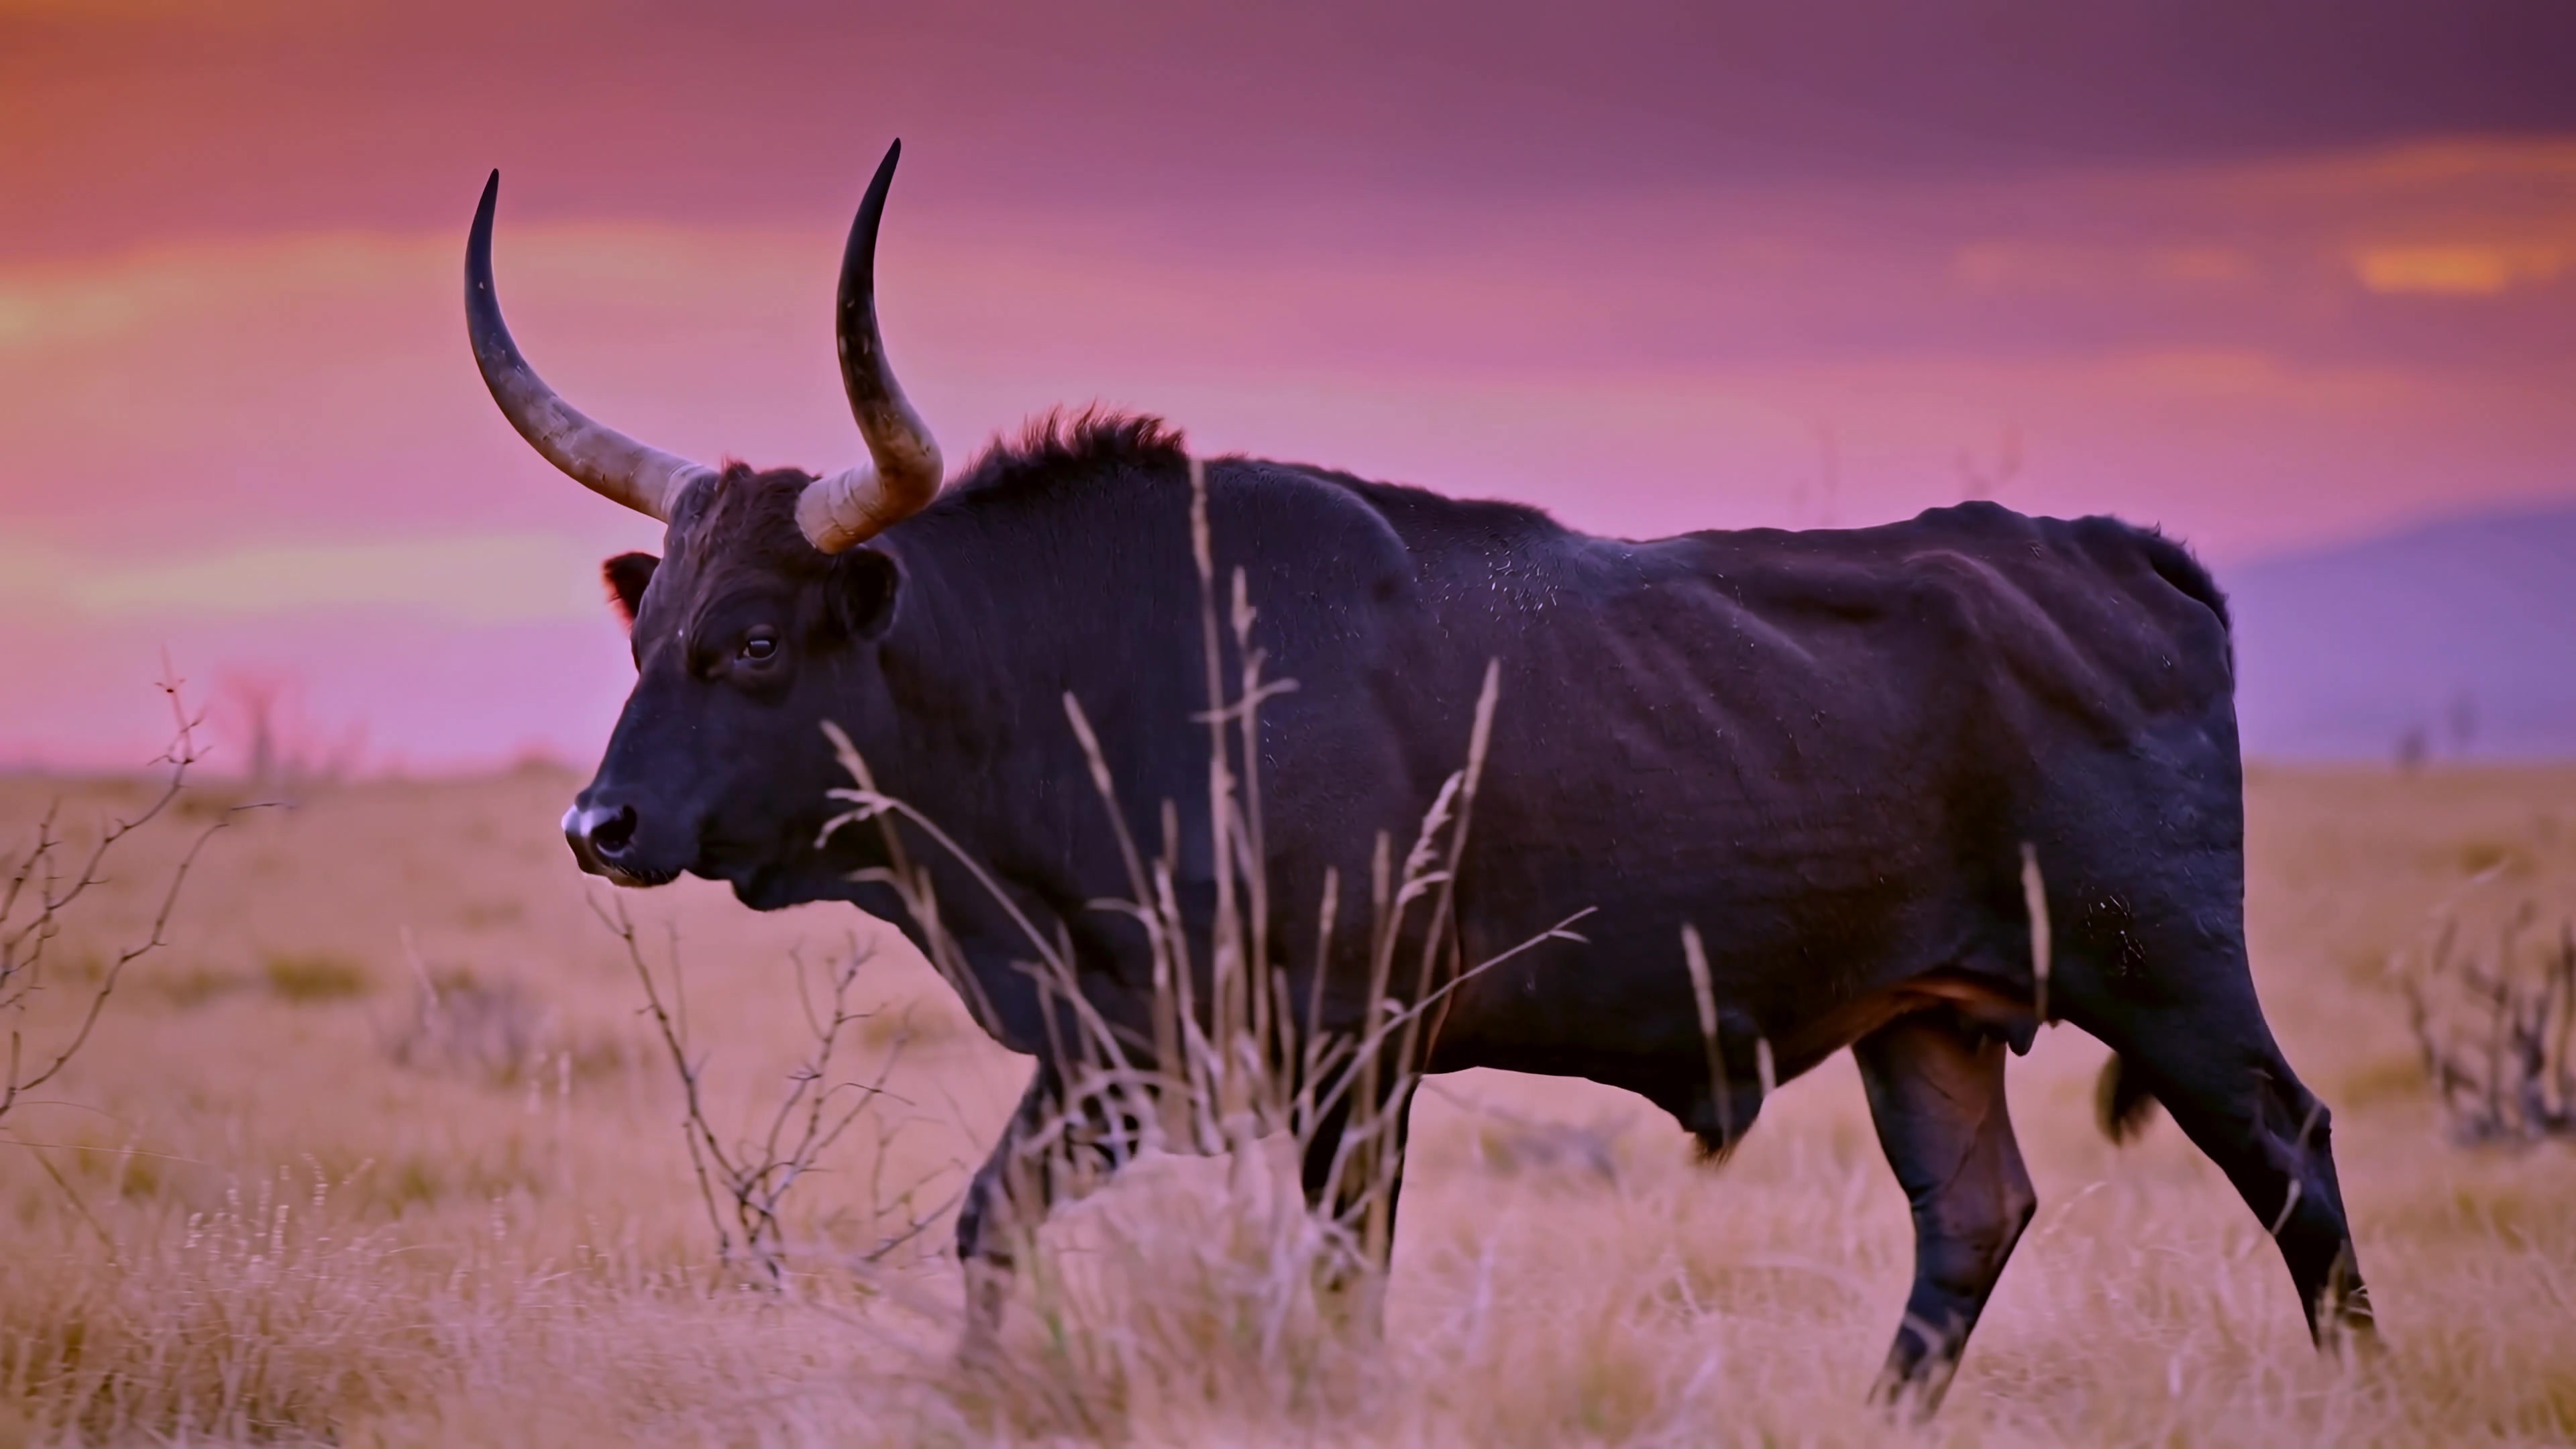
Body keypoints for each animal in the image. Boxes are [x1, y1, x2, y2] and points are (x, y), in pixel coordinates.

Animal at [465, 140, 2375, 1412]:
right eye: (651, 634)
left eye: (756, 643)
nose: (595, 824)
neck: (1124, 670)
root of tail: (2114, 553)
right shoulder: (1120, 1052)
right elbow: (990, 1225)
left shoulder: (1353, 1055)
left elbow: (1337, 1291)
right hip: (1929, 1020)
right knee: (1970, 1217)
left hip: (2166, 975)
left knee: (2292, 1155)